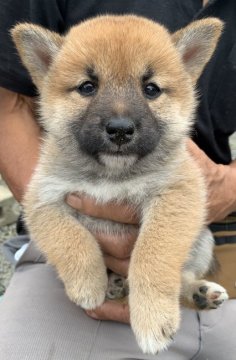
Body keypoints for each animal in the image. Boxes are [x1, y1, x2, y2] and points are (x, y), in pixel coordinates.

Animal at [12, 16, 228, 354]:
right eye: (87, 87)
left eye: (151, 89)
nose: (120, 129)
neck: (112, 175)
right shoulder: (42, 199)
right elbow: (71, 239)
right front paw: (89, 284)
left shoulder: (177, 195)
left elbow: (152, 254)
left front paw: (153, 317)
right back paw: (116, 283)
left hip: (203, 239)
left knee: (183, 276)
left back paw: (198, 293)